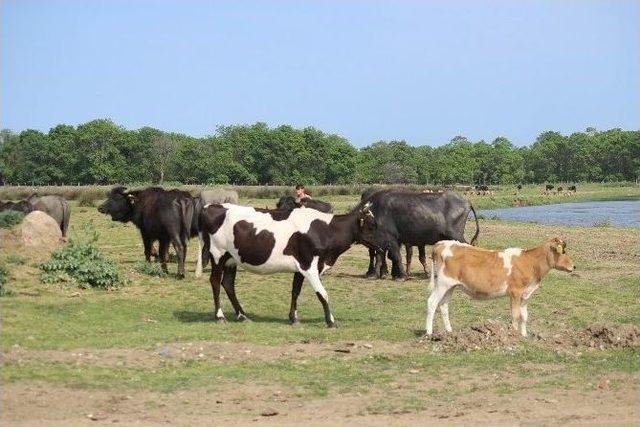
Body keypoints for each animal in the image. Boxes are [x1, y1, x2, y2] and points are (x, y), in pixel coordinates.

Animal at [195, 203, 376, 328]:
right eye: (372, 225)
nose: (384, 244)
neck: (325, 230)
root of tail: (210, 206)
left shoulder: (301, 267)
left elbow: (295, 291)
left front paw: (294, 318)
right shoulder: (309, 266)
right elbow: (322, 294)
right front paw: (331, 321)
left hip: (232, 259)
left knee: (228, 284)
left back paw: (242, 316)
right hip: (218, 254)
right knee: (215, 281)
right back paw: (220, 316)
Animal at [424, 237, 576, 338]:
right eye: (563, 251)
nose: (574, 266)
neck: (530, 262)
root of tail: (441, 243)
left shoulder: (525, 295)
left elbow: (524, 316)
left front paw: (524, 336)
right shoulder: (515, 292)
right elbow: (516, 315)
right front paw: (514, 335)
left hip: (451, 285)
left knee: (443, 305)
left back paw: (449, 332)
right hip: (442, 283)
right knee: (432, 302)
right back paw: (429, 332)